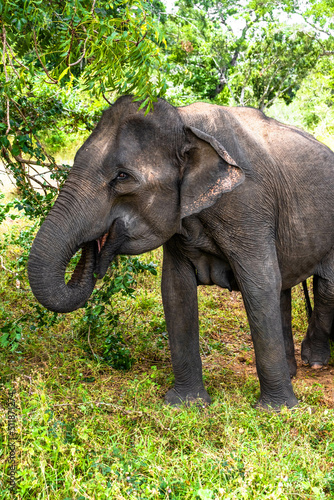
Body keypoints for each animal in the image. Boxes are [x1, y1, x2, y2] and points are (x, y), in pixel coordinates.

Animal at [28, 94, 334, 410]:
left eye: (122, 176)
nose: (98, 244)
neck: (184, 121)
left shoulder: (248, 207)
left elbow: (260, 285)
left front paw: (277, 409)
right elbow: (176, 289)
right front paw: (186, 404)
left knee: (324, 288)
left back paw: (314, 364)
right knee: (284, 291)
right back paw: (293, 372)